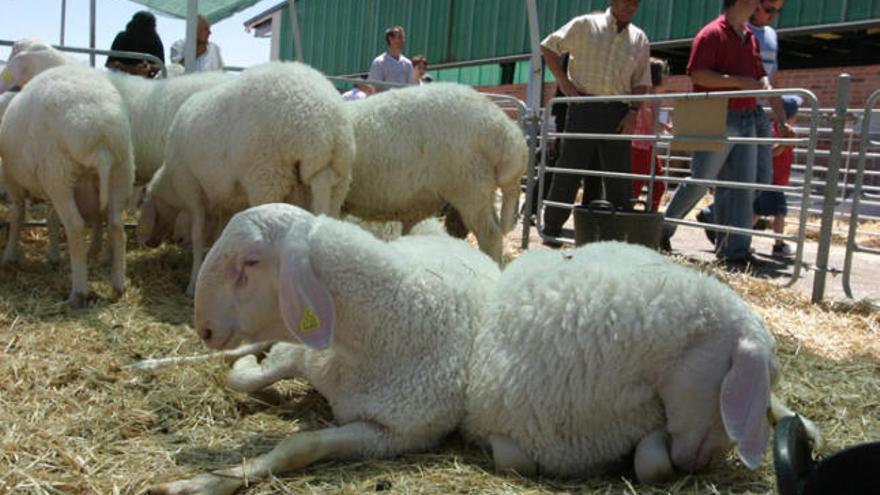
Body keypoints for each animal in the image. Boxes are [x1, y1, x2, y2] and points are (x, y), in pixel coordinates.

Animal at [0, 64, 134, 308]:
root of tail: (101, 141)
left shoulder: (12, 180)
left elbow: (18, 216)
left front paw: (10, 255)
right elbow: (51, 218)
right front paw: (53, 256)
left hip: (58, 173)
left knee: (75, 227)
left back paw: (78, 292)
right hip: (121, 170)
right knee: (117, 226)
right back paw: (118, 286)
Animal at [138, 61, 354, 298]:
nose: (150, 243)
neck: (171, 184)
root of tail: (322, 121)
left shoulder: (191, 187)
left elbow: (198, 236)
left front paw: (193, 284)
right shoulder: (226, 200)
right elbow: (220, 236)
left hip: (267, 176)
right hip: (337, 180)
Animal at [148, 202, 498, 495]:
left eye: (251, 261)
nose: (204, 328)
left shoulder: (396, 434)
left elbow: (299, 446)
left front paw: (204, 483)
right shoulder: (303, 353)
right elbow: (243, 379)